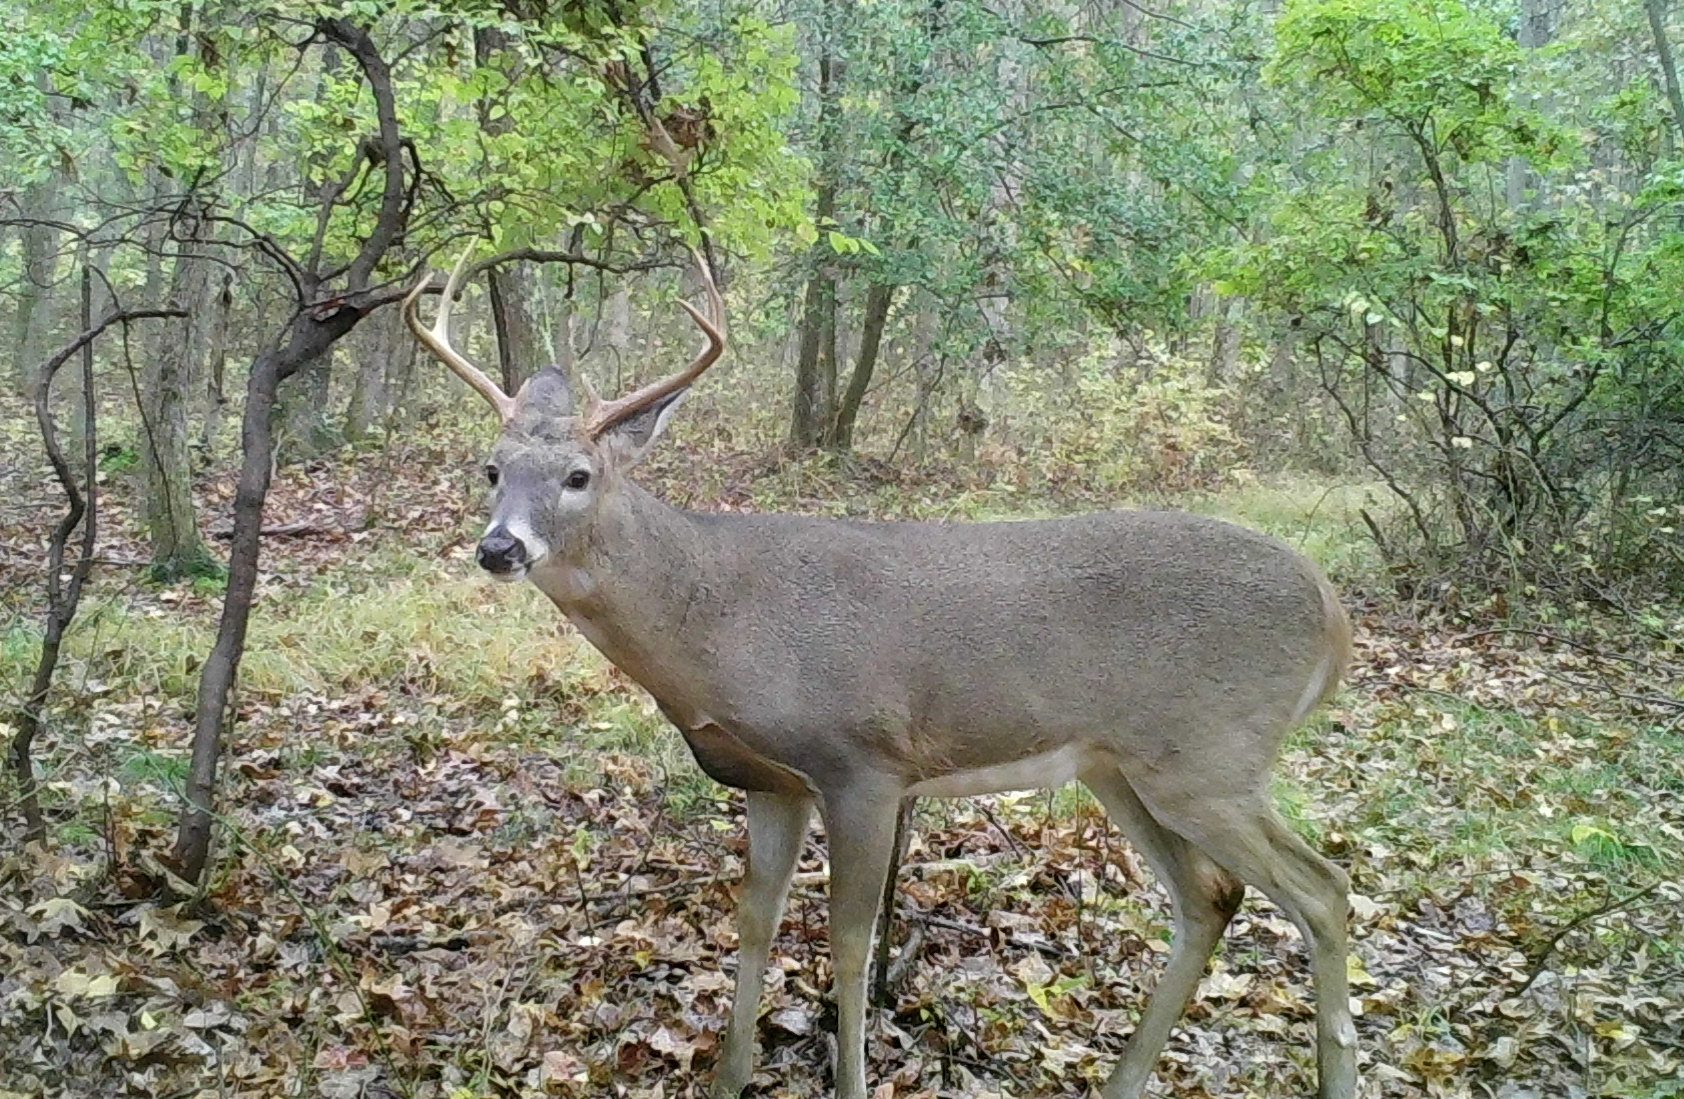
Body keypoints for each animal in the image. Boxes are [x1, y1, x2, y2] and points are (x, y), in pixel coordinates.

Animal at [400, 245, 1360, 1097]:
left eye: (577, 474)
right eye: (491, 469)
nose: (498, 548)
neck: (718, 621)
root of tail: (1332, 608)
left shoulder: (863, 763)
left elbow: (850, 945)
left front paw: (848, 1077)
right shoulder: (771, 780)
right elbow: (755, 922)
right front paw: (731, 1076)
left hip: (1212, 755)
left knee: (1324, 889)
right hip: (1126, 767)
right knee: (1212, 895)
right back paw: (1124, 1082)